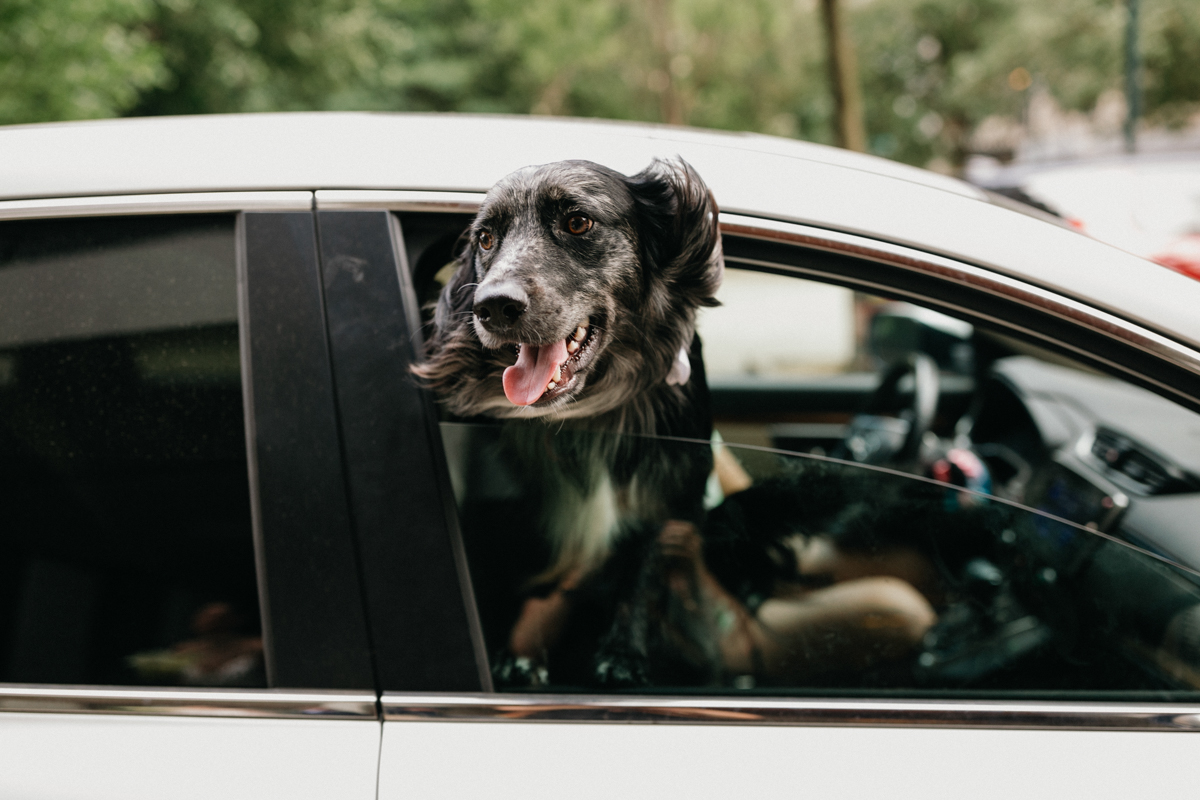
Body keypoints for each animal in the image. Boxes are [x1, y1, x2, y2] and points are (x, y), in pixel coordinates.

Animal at [417, 158, 724, 690]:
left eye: (578, 222)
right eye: (486, 238)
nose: (492, 307)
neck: (587, 409)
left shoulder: (669, 494)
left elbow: (643, 569)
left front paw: (622, 655)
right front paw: (517, 657)